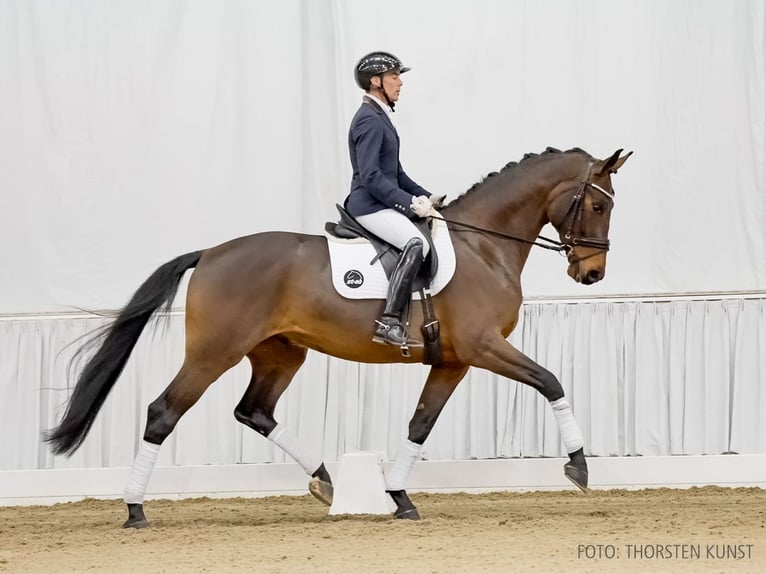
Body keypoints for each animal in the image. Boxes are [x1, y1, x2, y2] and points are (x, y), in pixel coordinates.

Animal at [46, 146, 636, 528]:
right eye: (599, 205)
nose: (592, 274)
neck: (483, 246)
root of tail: (210, 253)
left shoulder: (453, 360)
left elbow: (420, 425)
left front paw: (398, 497)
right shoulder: (483, 347)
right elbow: (551, 380)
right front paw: (579, 466)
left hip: (281, 354)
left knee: (254, 411)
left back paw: (325, 480)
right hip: (215, 352)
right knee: (163, 412)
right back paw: (134, 510)